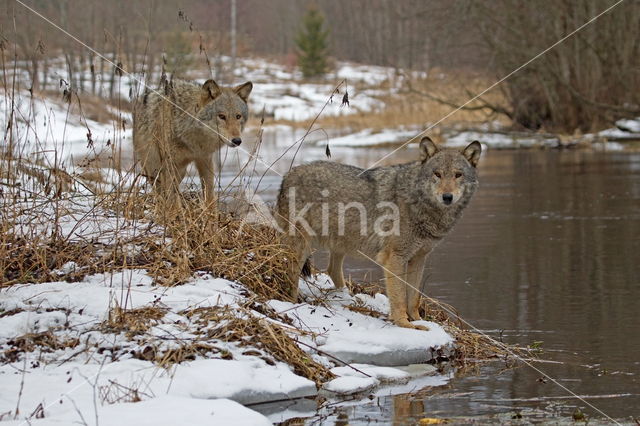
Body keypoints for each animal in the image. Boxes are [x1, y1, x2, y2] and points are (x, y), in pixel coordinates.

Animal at [276, 138, 480, 332]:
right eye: (437, 174)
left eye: (458, 174)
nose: (447, 197)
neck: (420, 204)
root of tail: (287, 175)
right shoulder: (394, 258)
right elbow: (399, 298)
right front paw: (405, 325)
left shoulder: (419, 259)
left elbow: (413, 297)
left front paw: (419, 321)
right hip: (302, 247)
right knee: (291, 272)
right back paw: (292, 303)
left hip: (340, 244)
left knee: (332, 269)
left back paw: (347, 298)